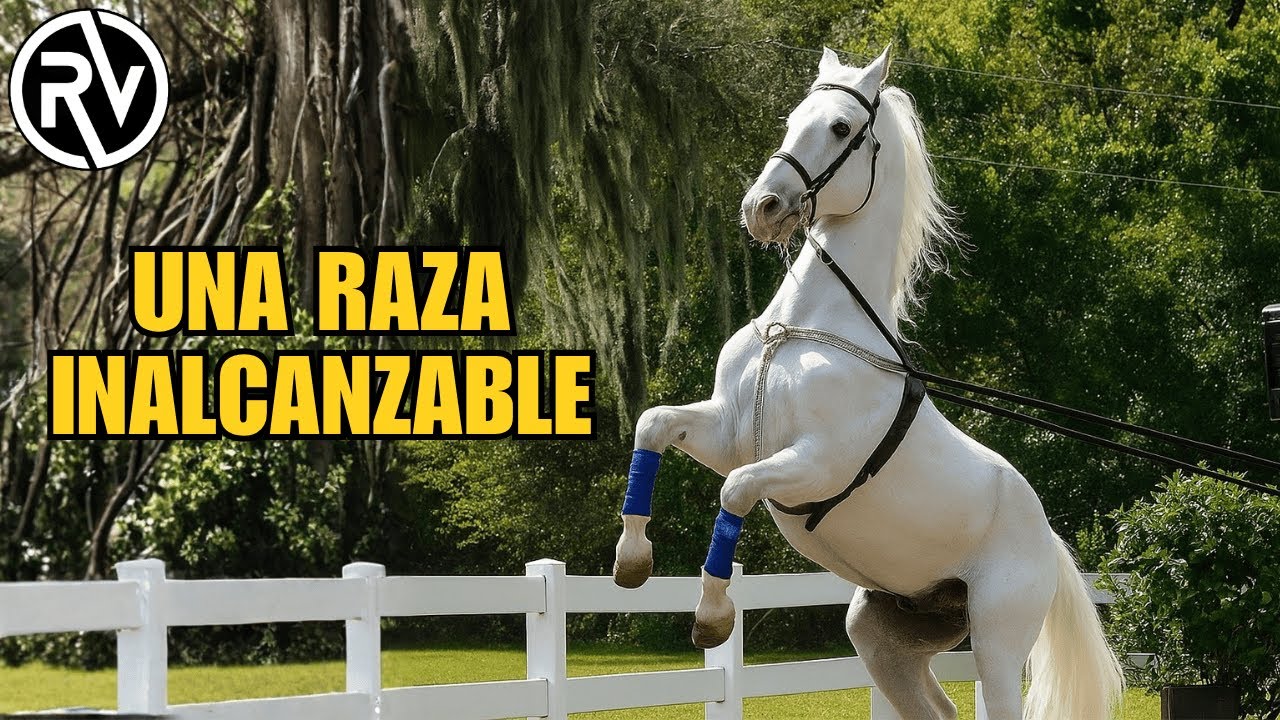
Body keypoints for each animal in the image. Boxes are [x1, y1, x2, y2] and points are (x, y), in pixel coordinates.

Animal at [611, 47, 1125, 720]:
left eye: (839, 128)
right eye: (791, 118)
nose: (761, 208)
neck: (801, 328)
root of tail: (1050, 540)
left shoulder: (813, 463)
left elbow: (736, 490)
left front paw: (712, 617)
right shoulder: (729, 431)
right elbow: (654, 424)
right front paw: (631, 562)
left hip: (997, 643)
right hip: (883, 636)